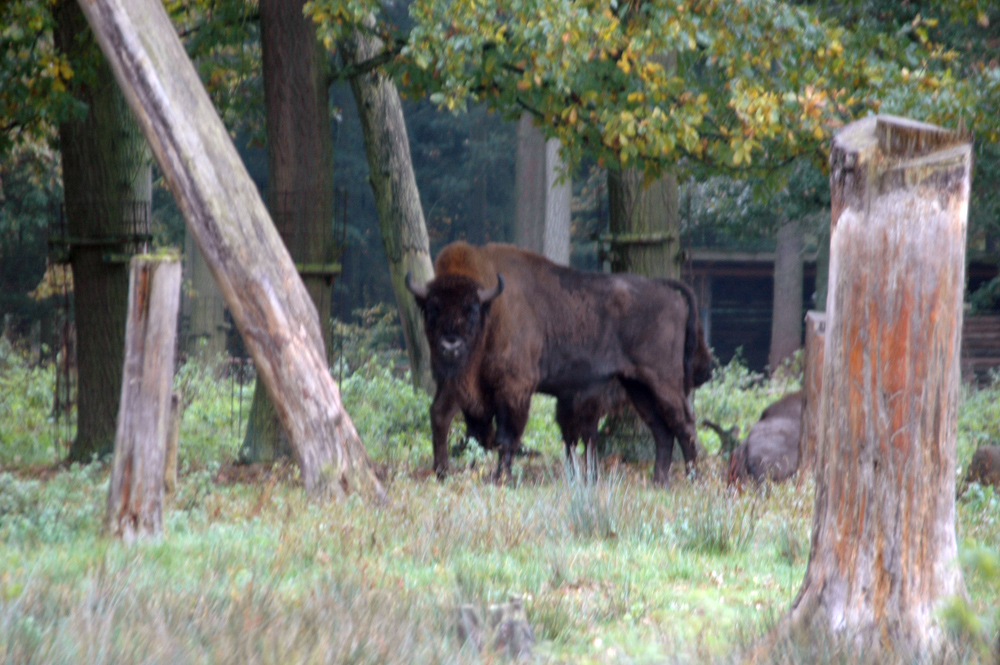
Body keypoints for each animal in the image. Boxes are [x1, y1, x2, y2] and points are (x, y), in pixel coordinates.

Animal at [406, 241, 712, 486]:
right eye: (432, 309)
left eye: (471, 311)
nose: (450, 346)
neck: (491, 311)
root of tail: (670, 295)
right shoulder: (455, 385)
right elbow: (444, 418)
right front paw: (443, 472)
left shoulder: (514, 388)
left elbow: (506, 436)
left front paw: (499, 478)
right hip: (637, 386)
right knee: (662, 430)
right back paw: (659, 481)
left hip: (663, 381)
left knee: (684, 425)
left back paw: (692, 479)